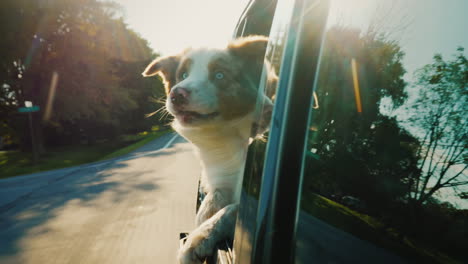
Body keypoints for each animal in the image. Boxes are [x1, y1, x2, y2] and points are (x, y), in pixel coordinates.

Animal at [142, 35, 274, 264]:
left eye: (219, 75)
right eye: (183, 75)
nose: (177, 94)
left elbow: (230, 210)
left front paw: (198, 239)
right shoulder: (223, 179)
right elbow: (210, 203)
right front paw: (199, 225)